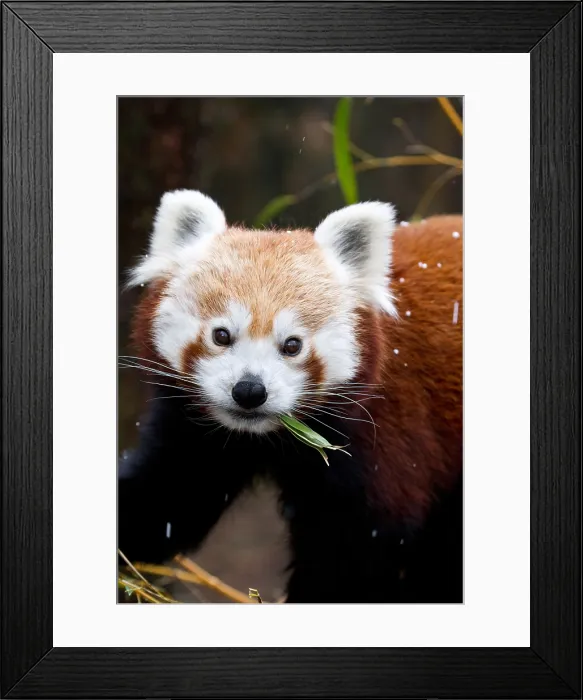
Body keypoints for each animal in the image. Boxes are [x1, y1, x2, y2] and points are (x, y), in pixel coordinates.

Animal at [118, 189, 463, 603]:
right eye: (221, 335)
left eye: (292, 345)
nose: (250, 390)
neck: (268, 438)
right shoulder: (196, 432)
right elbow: (165, 499)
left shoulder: (386, 434)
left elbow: (351, 555)